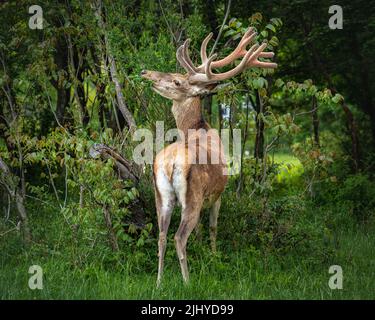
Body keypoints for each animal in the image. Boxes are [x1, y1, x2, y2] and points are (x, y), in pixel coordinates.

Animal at [141, 27, 276, 286]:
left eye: (177, 80)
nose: (146, 72)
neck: (198, 127)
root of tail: (170, 163)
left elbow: (201, 231)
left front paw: (205, 253)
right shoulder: (217, 195)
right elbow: (213, 228)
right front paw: (213, 258)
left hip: (160, 195)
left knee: (162, 235)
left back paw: (159, 282)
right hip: (192, 196)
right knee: (178, 237)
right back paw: (187, 283)